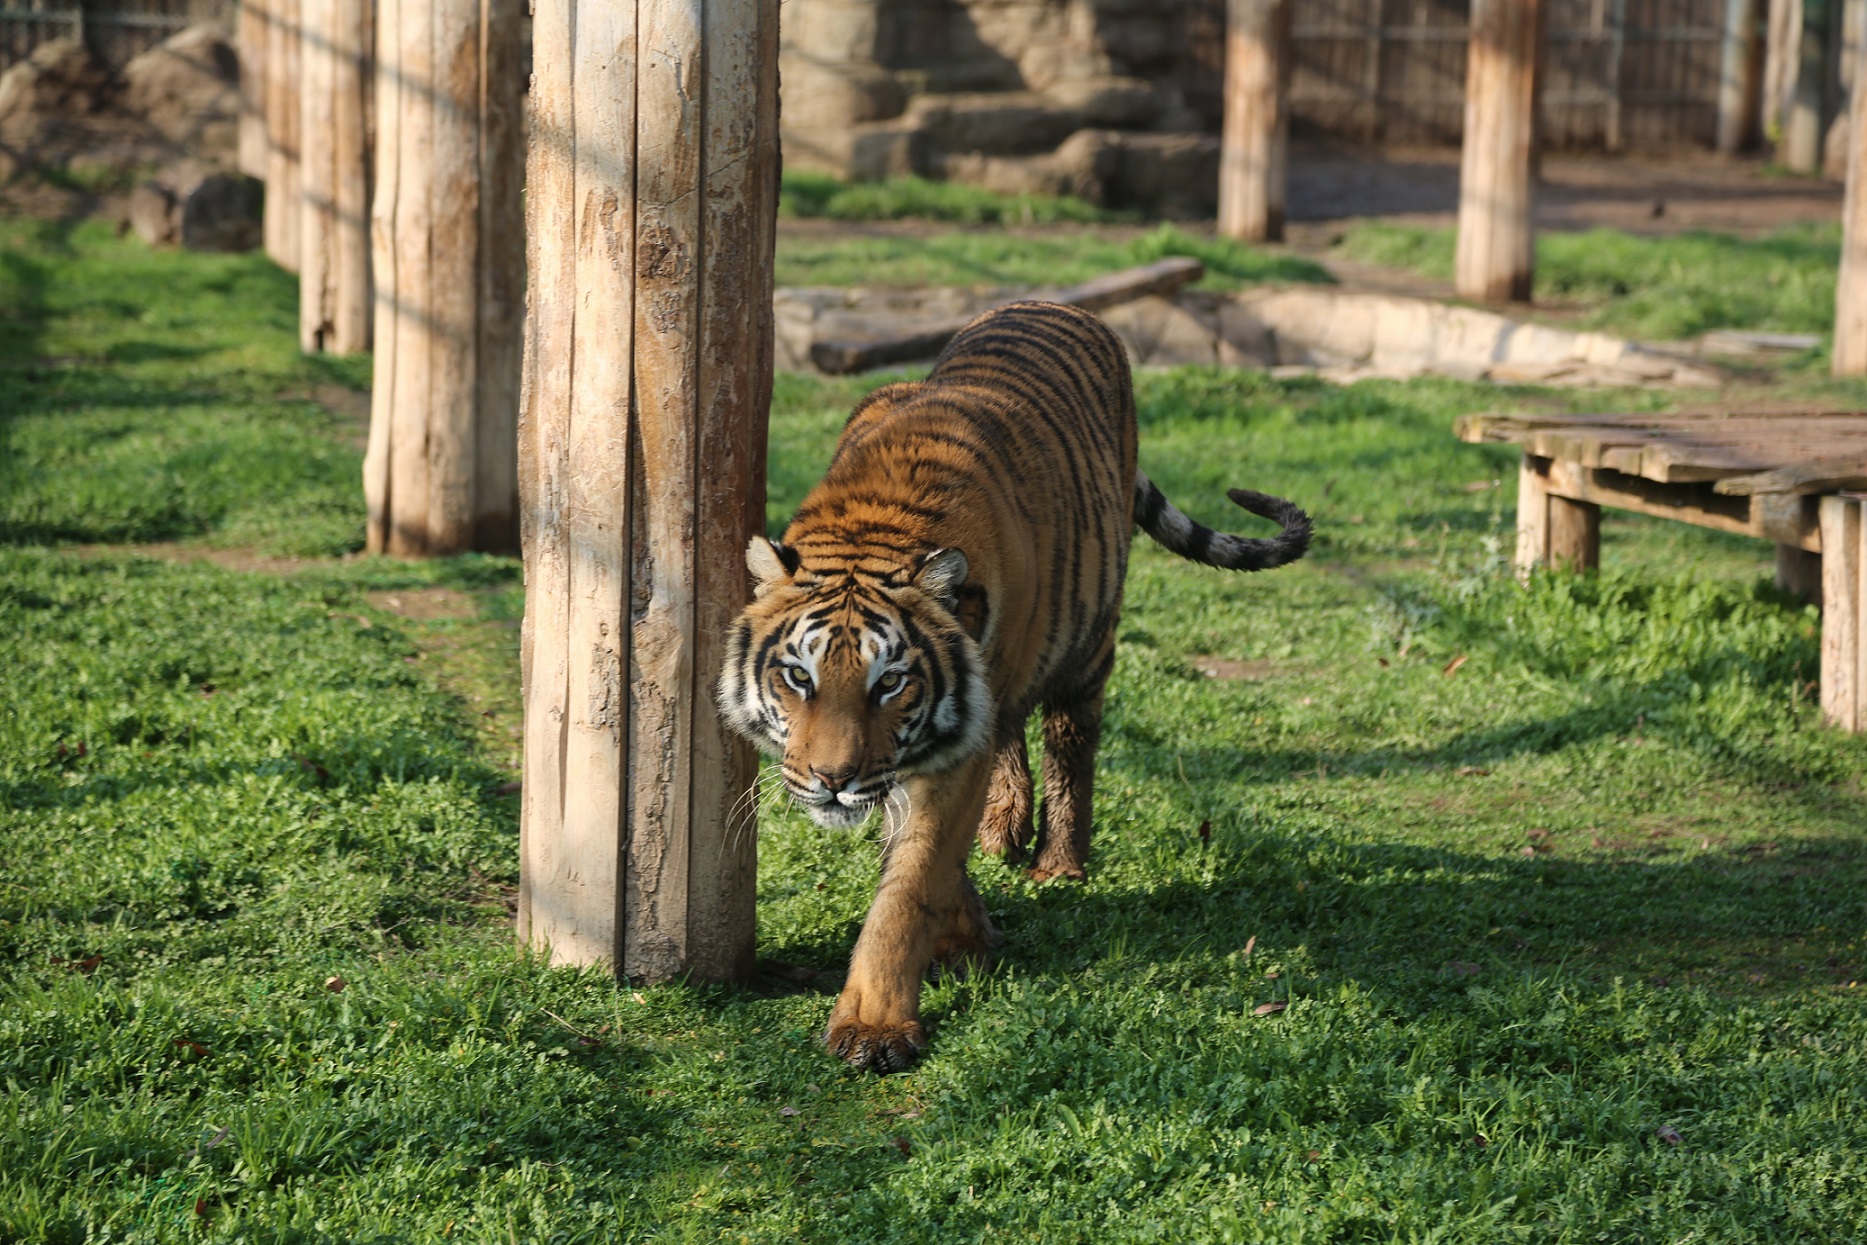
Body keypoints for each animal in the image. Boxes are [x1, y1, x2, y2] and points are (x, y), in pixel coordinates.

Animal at [713, 298, 1314, 1075]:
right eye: (798, 677)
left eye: (889, 683)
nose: (831, 781)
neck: (873, 529)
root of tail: (1058, 304)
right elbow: (923, 850)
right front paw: (969, 932)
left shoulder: (937, 754)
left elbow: (910, 885)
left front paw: (875, 1024)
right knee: (1008, 732)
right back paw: (1002, 833)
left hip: (1091, 637)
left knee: (1068, 743)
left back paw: (1056, 863)